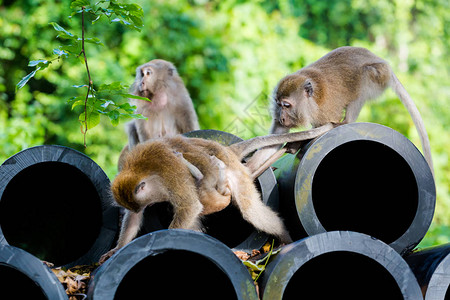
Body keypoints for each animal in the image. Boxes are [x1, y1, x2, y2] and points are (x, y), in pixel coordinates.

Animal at [99, 123, 334, 262]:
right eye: (138, 205)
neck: (142, 170)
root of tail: (227, 152)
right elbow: (135, 218)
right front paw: (118, 249)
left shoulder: (171, 174)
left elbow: (190, 206)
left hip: (234, 173)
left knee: (248, 209)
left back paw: (284, 234)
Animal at [246, 46, 432, 176]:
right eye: (278, 104)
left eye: (286, 105)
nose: (282, 118)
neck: (310, 103)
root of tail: (381, 61)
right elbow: (275, 140)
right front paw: (249, 168)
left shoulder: (326, 109)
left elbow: (322, 127)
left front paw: (297, 143)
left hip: (379, 76)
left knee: (364, 77)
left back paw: (346, 121)